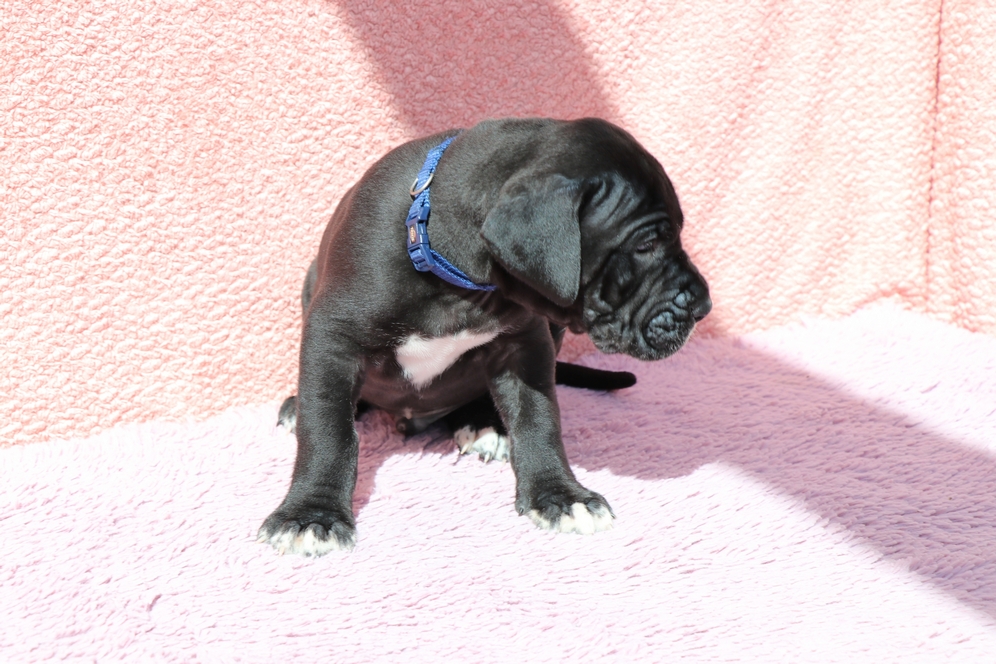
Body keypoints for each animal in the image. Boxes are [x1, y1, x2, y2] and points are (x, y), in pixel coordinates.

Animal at [259, 118, 711, 556]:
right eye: (647, 244)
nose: (703, 306)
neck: (456, 278)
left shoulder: (527, 344)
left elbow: (539, 418)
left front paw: (560, 496)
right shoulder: (333, 338)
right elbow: (328, 432)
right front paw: (311, 516)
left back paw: (483, 424)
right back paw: (299, 407)